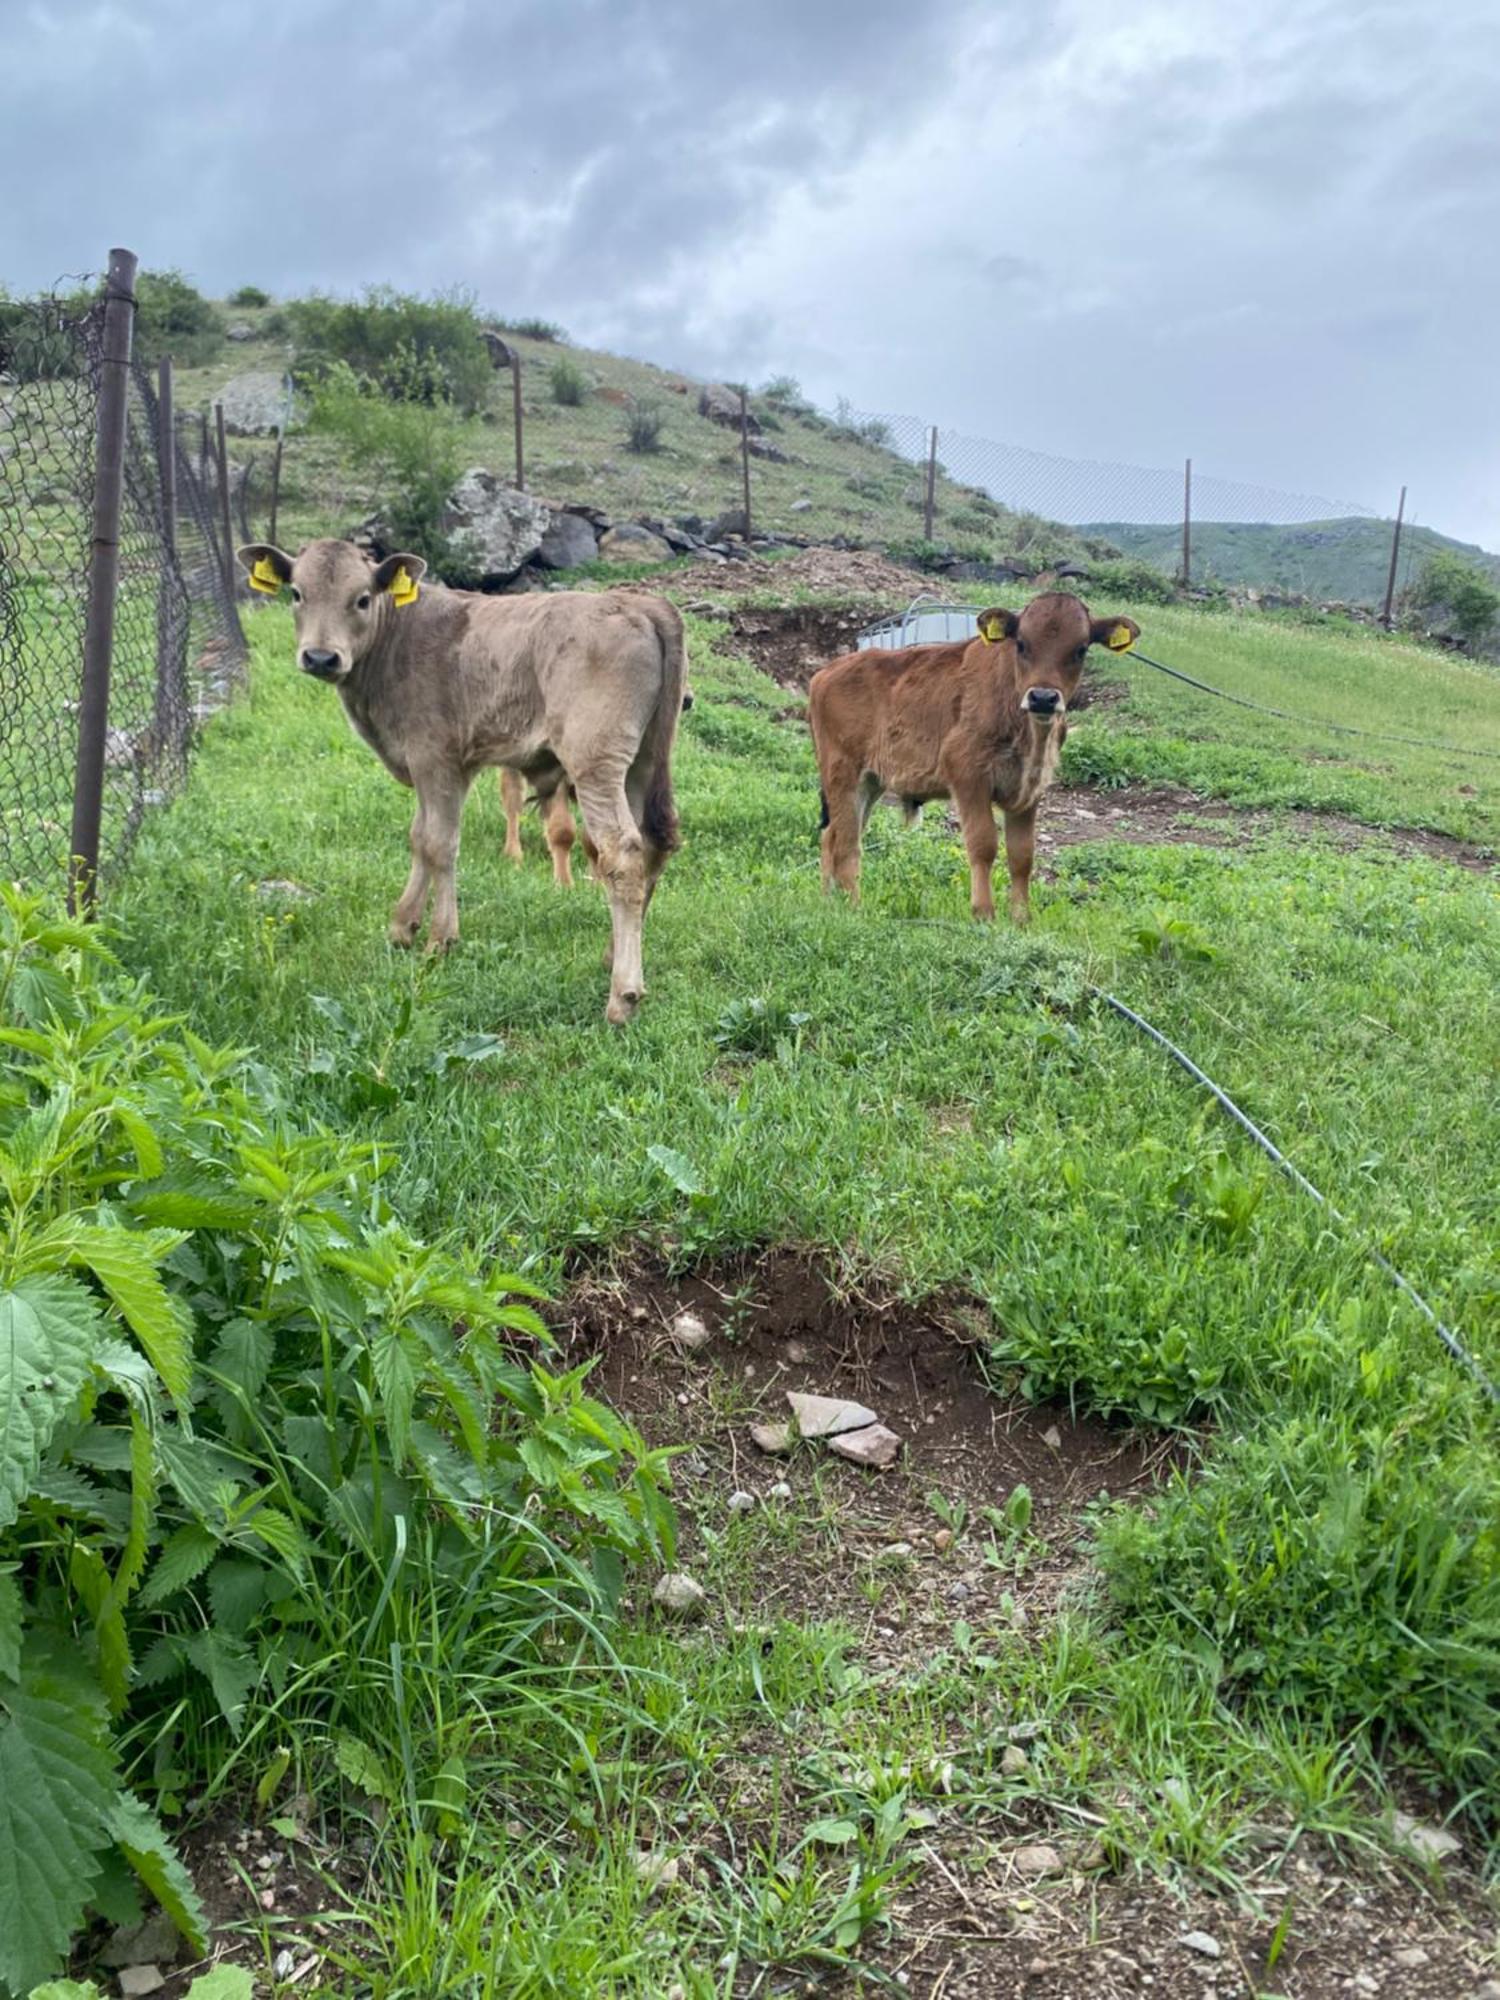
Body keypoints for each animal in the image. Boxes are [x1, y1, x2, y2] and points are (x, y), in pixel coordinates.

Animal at [812, 588, 1136, 924]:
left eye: (1081, 649)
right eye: (1022, 643)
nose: (1043, 698)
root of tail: (826, 673)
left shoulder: (1030, 790)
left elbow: (1022, 854)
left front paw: (1021, 918)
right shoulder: (968, 776)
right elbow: (984, 844)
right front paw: (984, 913)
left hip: (871, 782)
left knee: (832, 835)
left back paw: (828, 900)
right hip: (843, 775)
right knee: (846, 844)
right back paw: (853, 907)